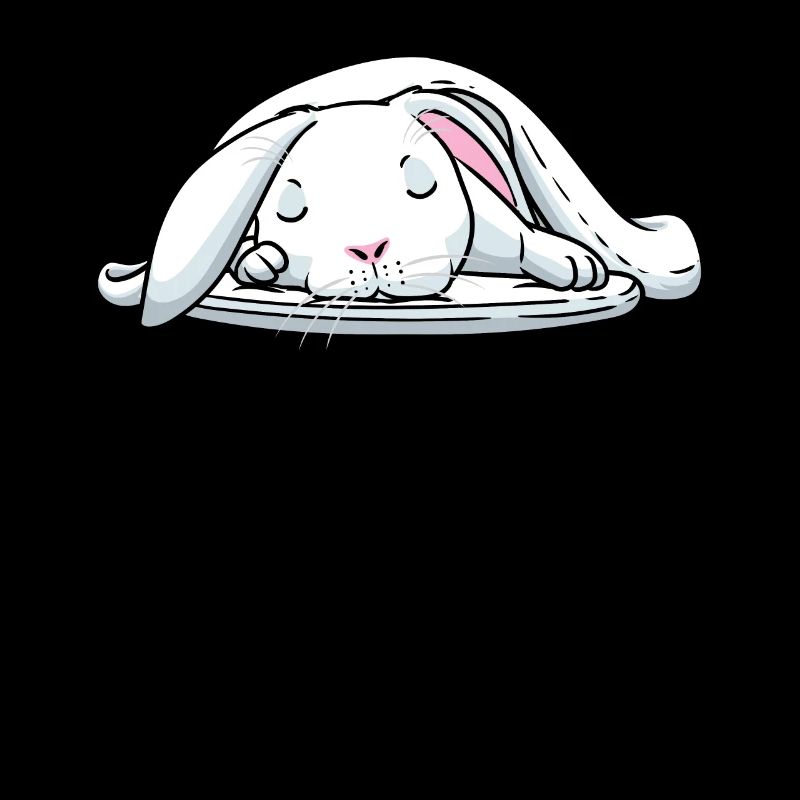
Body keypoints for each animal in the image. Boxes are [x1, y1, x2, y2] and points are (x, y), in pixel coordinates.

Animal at [99, 57, 700, 327]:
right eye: (292, 206)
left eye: (422, 183)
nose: (370, 249)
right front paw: (264, 260)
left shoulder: (491, 221)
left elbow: (524, 239)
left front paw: (572, 261)